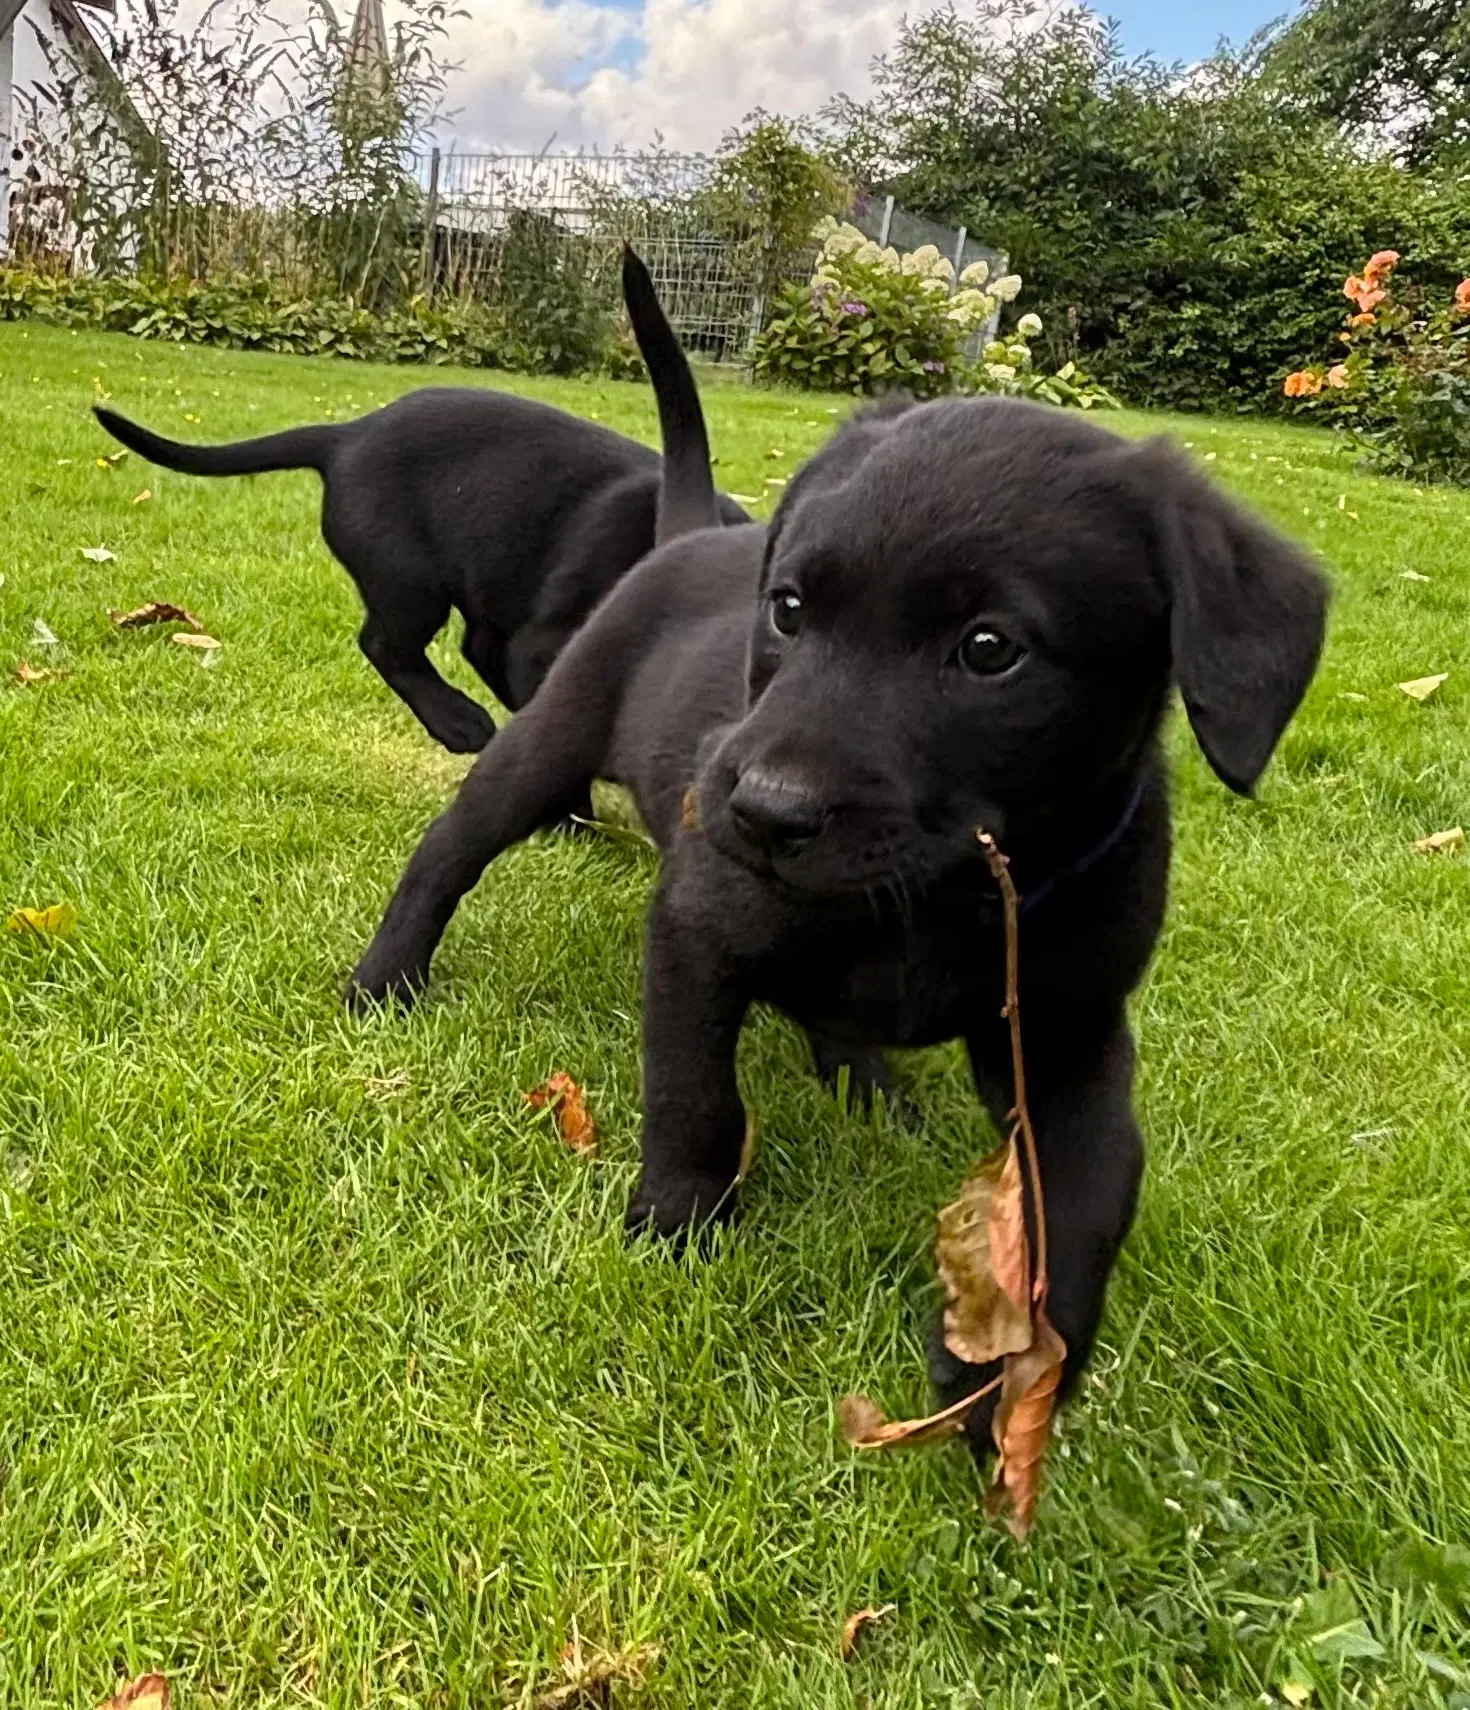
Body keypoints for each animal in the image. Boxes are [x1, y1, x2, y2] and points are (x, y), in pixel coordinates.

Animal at [91, 316, 745, 755]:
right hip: (408, 581)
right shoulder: (546, 646)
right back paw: (460, 723)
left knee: (468, 645)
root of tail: (346, 436)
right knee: (388, 645)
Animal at [350, 259, 1326, 1450]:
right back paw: (386, 976)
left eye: (989, 650)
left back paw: (864, 1081)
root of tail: (685, 536)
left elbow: (1096, 1181)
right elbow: (695, 1097)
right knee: (450, 851)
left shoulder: (1066, 1025)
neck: (944, 893)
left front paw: (1014, 1374)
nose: (762, 811)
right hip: (545, 740)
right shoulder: (698, 925)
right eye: (790, 609)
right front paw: (676, 1226)